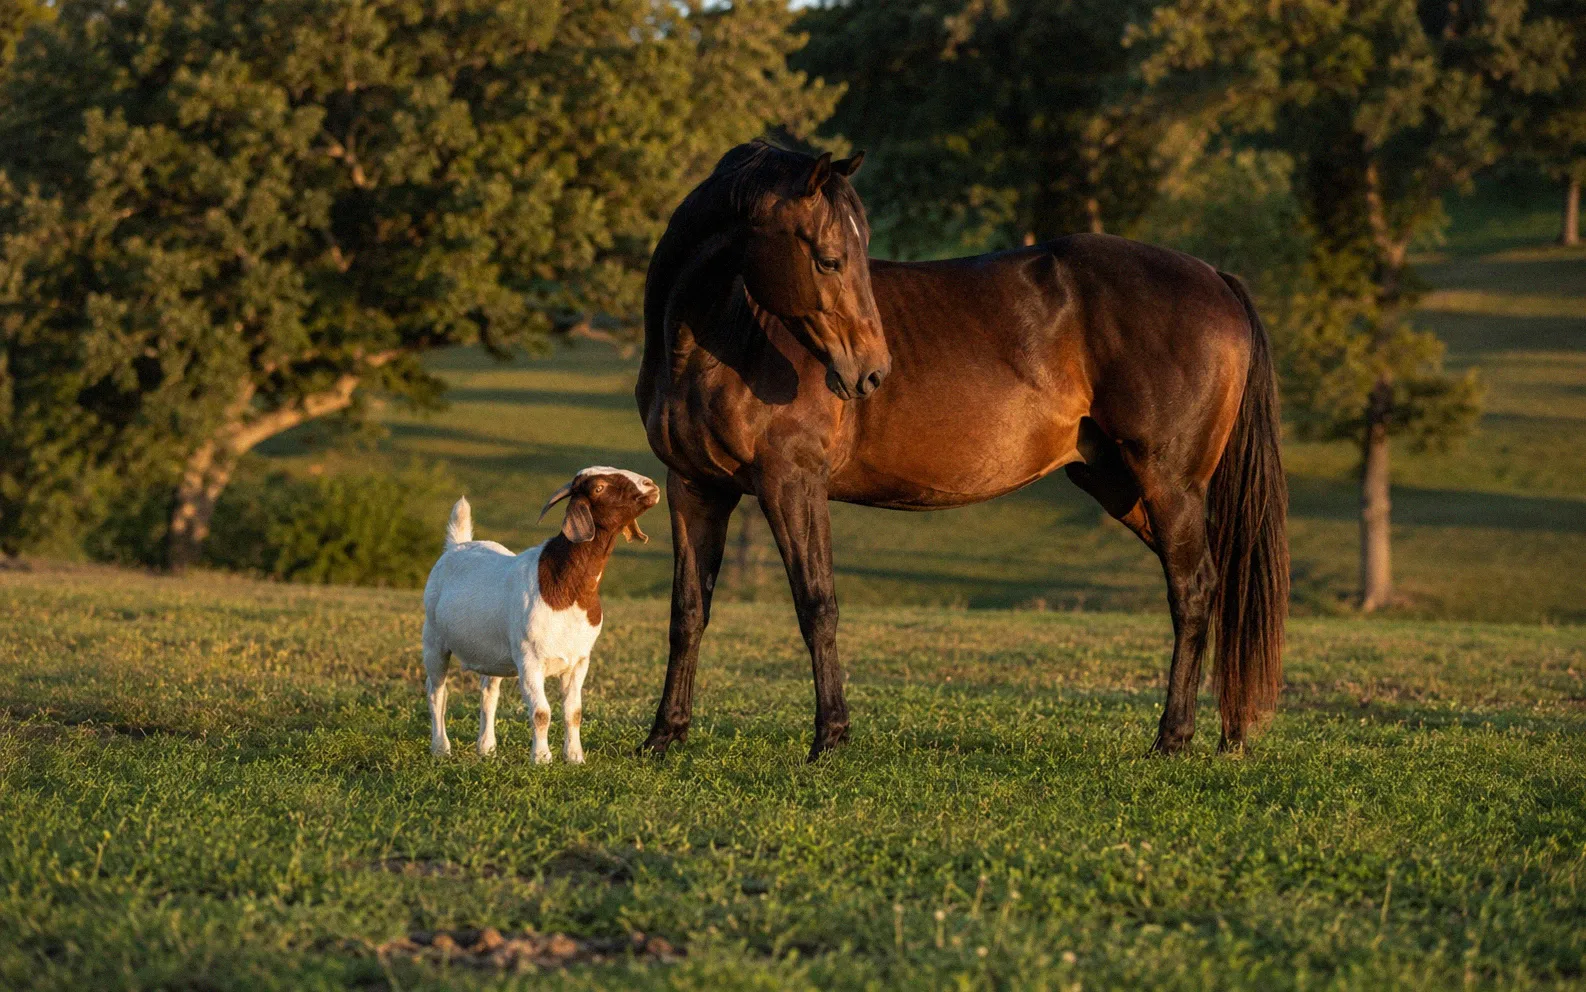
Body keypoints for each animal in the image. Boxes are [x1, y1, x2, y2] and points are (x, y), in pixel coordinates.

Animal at [421, 467, 660, 763]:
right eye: (599, 487)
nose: (651, 485)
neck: (566, 587)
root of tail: (457, 546)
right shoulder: (530, 661)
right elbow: (541, 712)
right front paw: (542, 758)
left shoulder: (579, 660)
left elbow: (574, 712)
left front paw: (574, 757)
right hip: (433, 639)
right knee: (436, 692)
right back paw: (441, 748)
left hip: (492, 653)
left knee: (489, 692)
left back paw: (486, 748)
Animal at [635, 141, 1288, 761]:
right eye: (828, 258)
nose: (871, 372)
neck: (721, 337)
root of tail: (1217, 278)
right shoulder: (695, 488)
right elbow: (687, 613)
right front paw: (664, 737)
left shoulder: (791, 483)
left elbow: (817, 606)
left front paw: (831, 738)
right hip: (1123, 486)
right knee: (1214, 587)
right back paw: (1222, 734)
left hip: (1169, 484)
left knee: (1193, 590)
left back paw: (1172, 738)